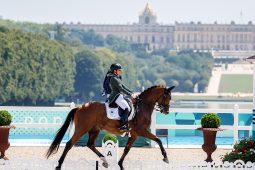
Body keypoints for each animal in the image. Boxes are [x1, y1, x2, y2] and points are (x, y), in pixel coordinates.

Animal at [46, 85, 175, 169]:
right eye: (167, 97)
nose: (167, 111)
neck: (142, 107)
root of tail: (79, 107)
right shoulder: (141, 131)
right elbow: (158, 140)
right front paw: (166, 158)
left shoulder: (134, 134)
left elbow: (127, 149)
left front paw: (120, 165)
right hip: (82, 129)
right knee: (69, 144)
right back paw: (59, 165)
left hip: (95, 130)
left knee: (90, 144)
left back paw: (105, 161)